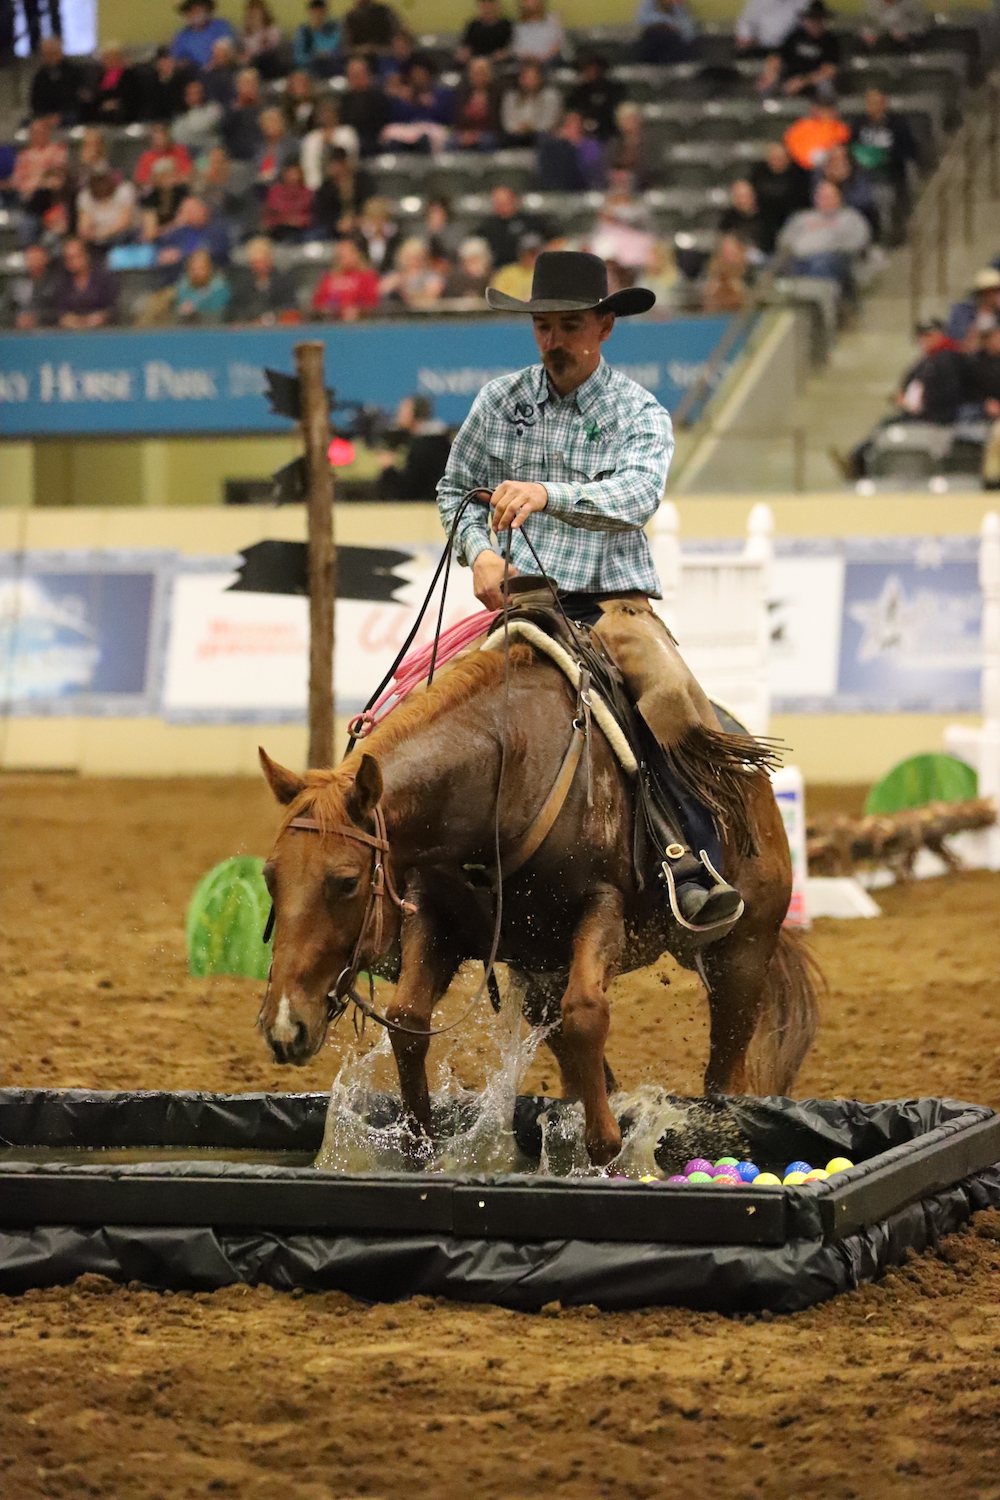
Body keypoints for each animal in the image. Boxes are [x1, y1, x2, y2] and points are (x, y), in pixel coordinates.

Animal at [257, 639, 821, 1164]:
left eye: (347, 881)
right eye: (269, 877)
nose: (285, 1025)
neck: (505, 773)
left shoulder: (601, 911)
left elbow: (587, 1011)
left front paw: (605, 1148)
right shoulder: (436, 916)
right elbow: (409, 1019)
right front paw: (421, 1144)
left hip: (741, 955)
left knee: (722, 1077)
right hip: (543, 979)